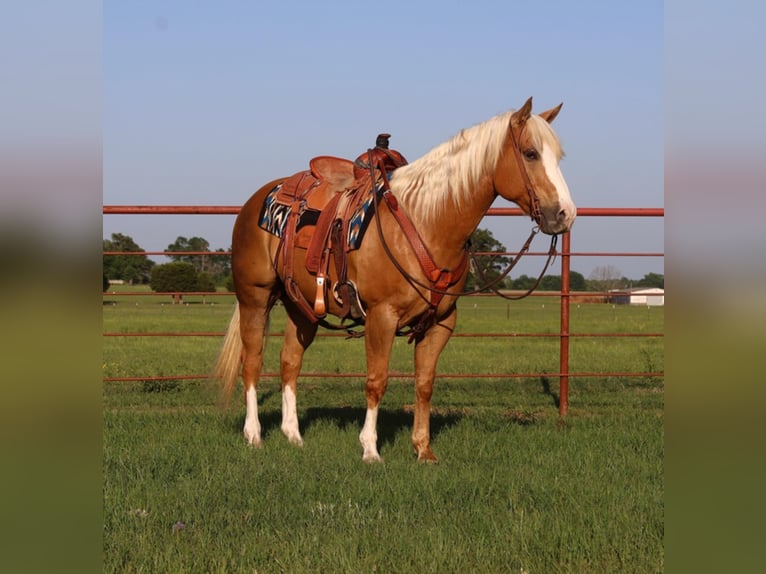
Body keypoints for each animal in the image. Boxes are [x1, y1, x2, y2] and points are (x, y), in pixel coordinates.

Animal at [214, 98, 576, 464]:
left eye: (559, 156)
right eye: (530, 153)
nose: (565, 214)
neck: (426, 222)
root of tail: (258, 199)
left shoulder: (441, 322)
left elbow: (425, 383)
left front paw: (423, 449)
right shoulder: (381, 317)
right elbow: (377, 381)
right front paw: (370, 450)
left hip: (300, 307)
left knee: (290, 362)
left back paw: (293, 435)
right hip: (255, 298)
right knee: (252, 363)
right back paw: (254, 434)